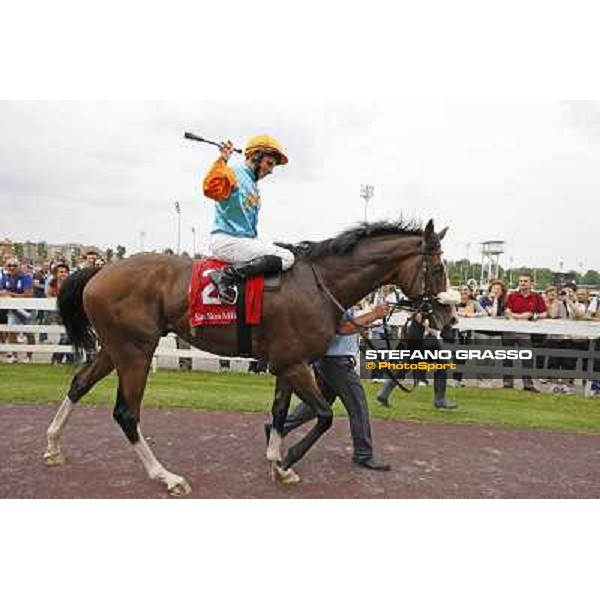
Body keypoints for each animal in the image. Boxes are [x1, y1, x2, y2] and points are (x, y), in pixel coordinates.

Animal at [44, 218, 452, 494]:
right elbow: (323, 416)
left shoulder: (288, 363)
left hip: (116, 348)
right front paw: (287, 459)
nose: (447, 316)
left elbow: (280, 411)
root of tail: (99, 270)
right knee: (126, 413)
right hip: (136, 352)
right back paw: (167, 477)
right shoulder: (294, 363)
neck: (320, 283)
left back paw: (52, 446)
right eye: (436, 268)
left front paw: (277, 462)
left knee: (79, 384)